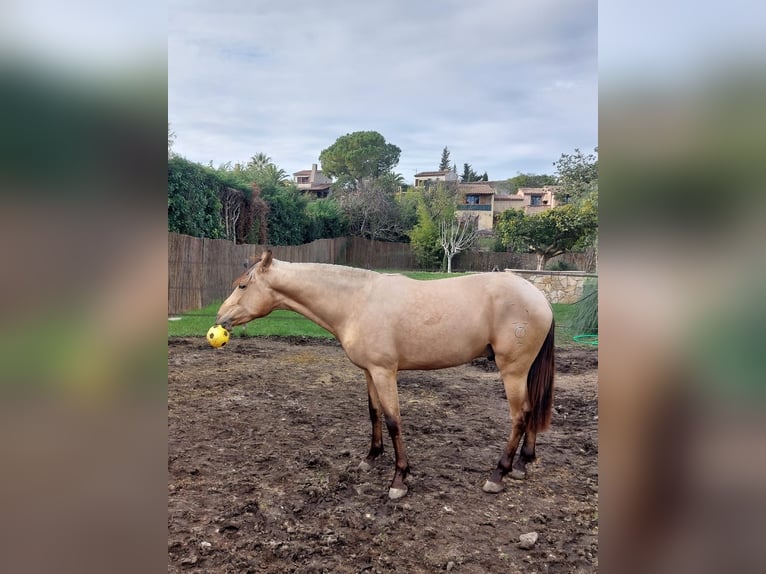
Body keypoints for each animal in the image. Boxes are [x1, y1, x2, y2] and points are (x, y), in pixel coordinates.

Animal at [213, 251, 556, 500]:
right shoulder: (369, 371)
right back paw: (523, 463)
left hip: (513, 371)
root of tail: (539, 297)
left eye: (243, 285)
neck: (356, 301)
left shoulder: (384, 372)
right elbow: (374, 412)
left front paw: (399, 479)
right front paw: (371, 457)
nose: (220, 318)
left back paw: (499, 474)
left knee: (520, 416)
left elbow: (393, 421)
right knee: (532, 409)